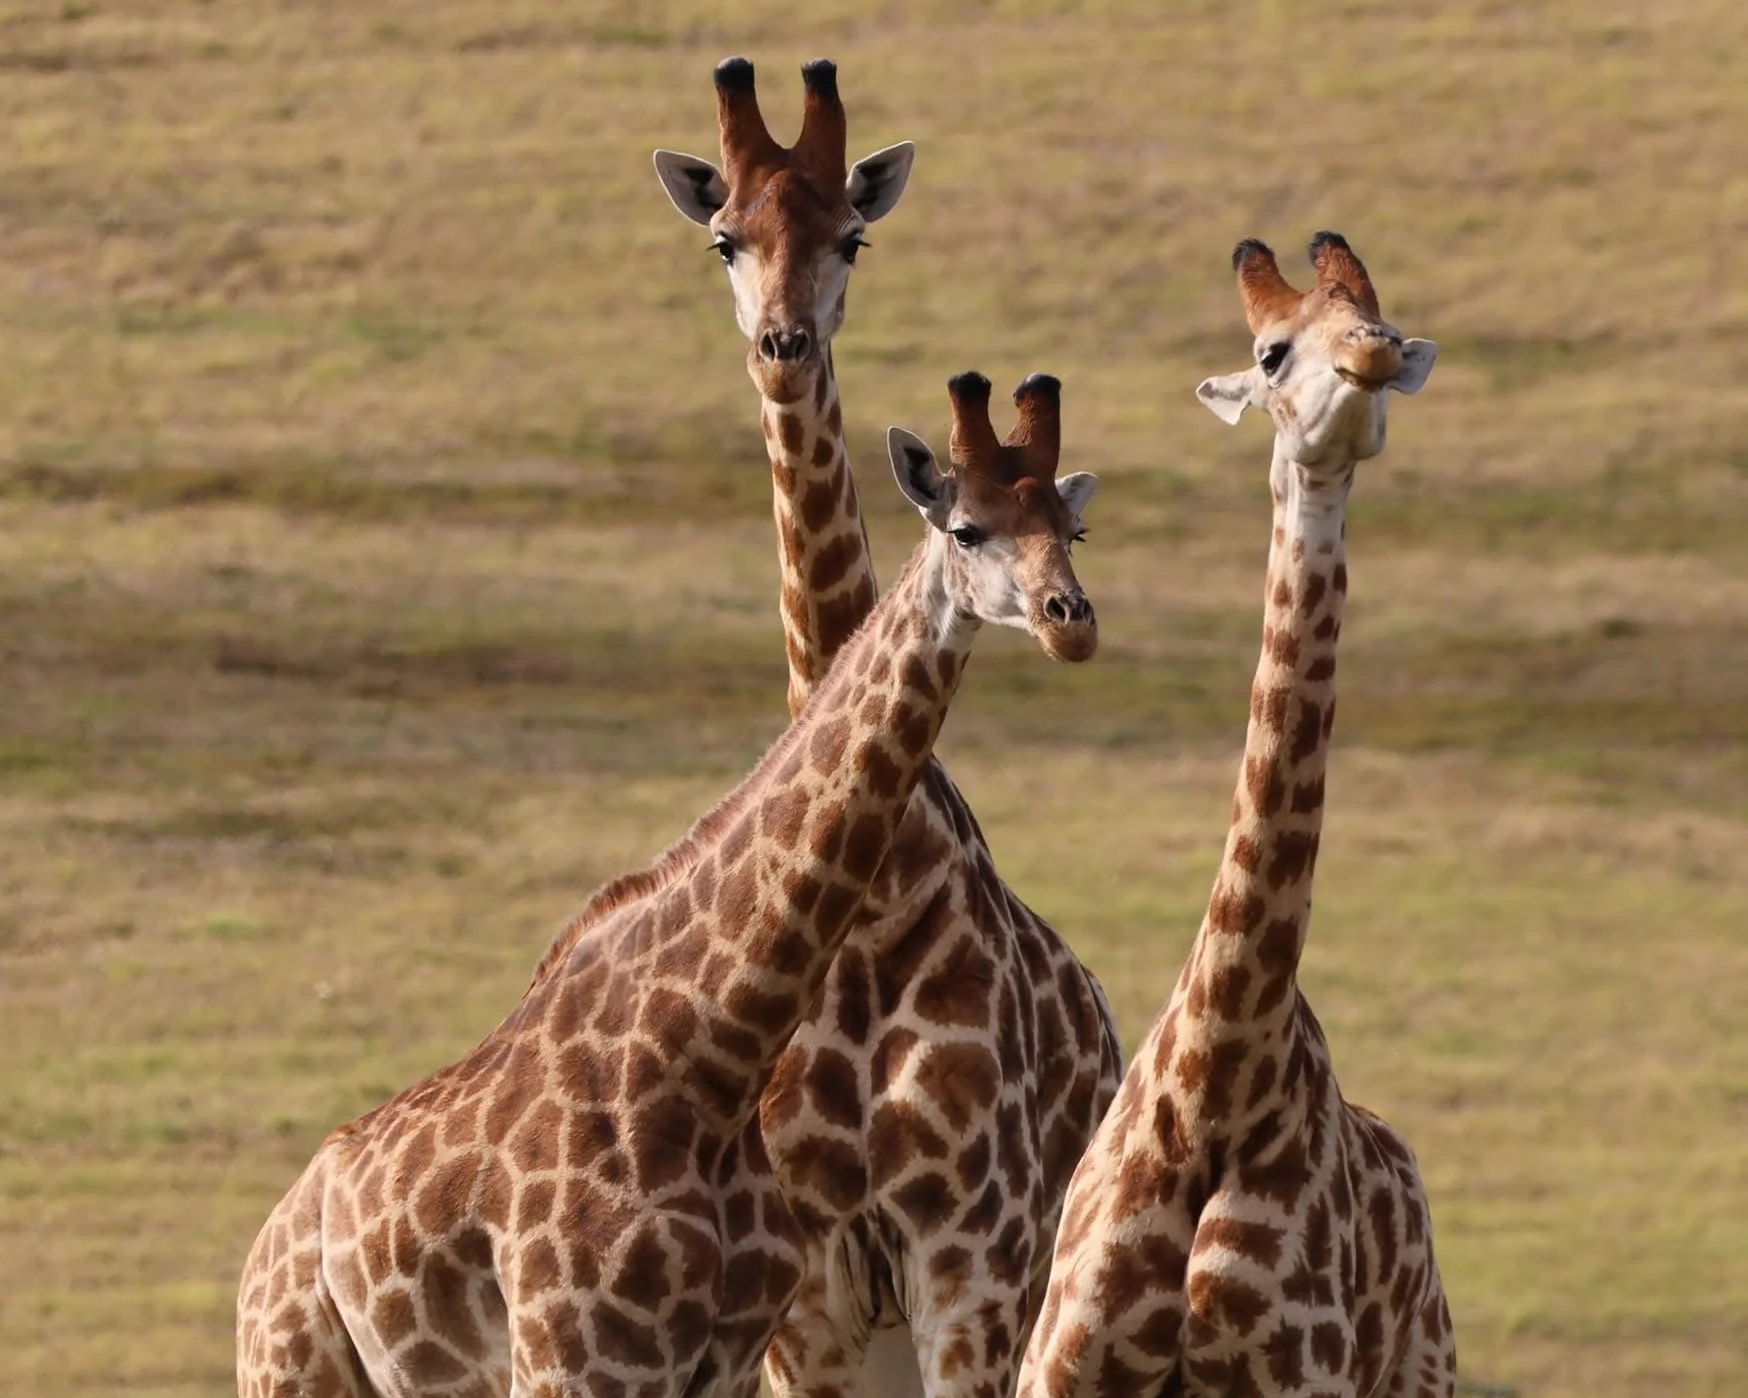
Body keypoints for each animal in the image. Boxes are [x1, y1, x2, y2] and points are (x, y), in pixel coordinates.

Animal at [235, 370, 1103, 1398]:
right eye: (966, 528)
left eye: (1072, 528)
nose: (1069, 621)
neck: (709, 1054)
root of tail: (266, 1243)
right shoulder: (576, 1357)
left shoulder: (735, 1351)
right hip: (291, 1365)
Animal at [654, 60, 1126, 1398]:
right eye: (725, 237)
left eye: (850, 235)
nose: (782, 345)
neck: (870, 914)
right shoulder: (809, 1287)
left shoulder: (968, 1256)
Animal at [1014, 233, 1452, 1398]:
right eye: (1269, 352)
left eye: (1392, 328)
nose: (1370, 358)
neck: (1222, 1073)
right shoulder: (1059, 1362)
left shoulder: (1300, 1371)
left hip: (1425, 1365)